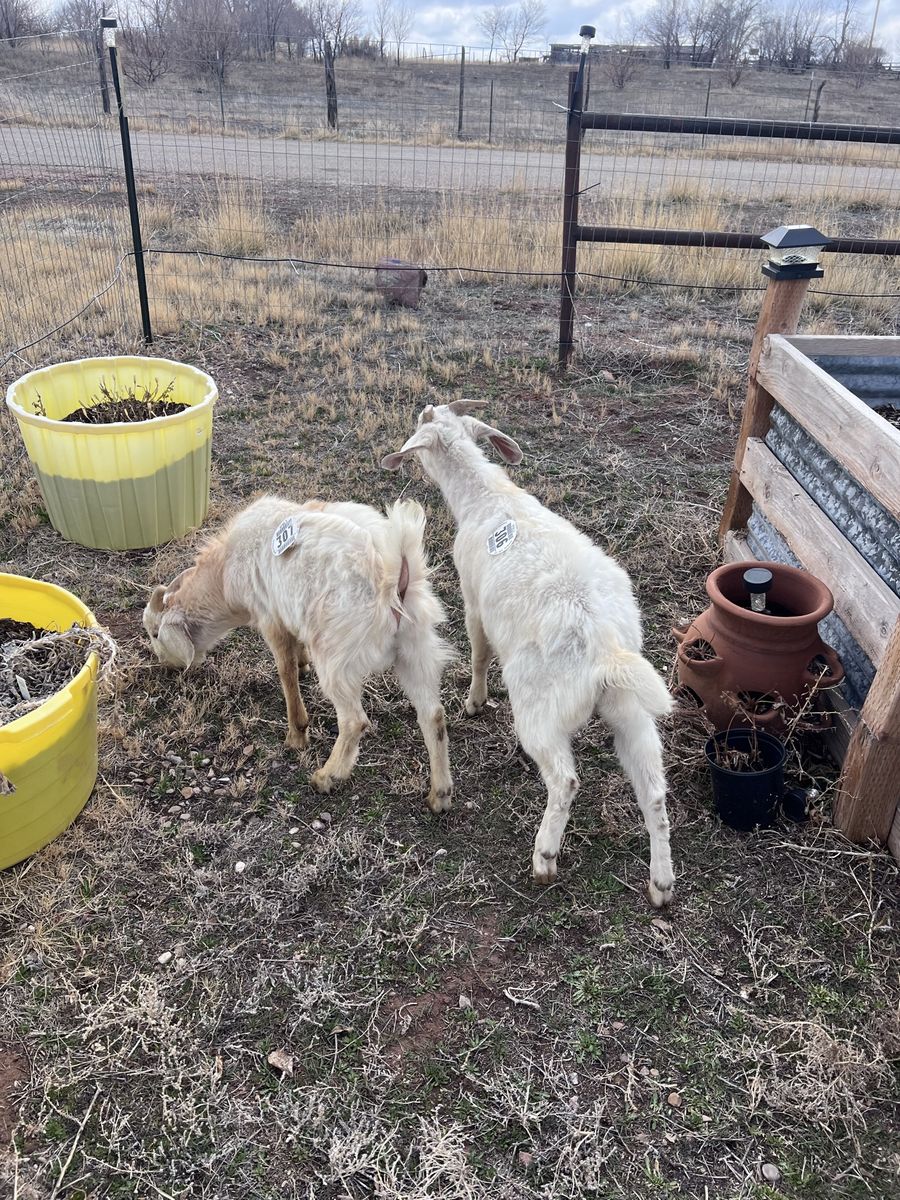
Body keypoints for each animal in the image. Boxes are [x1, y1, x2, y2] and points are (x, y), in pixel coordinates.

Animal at [143, 496, 453, 809]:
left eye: (155, 633)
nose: (166, 667)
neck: (224, 572)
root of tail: (395, 574)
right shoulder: (291, 614)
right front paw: (304, 664)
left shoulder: (270, 617)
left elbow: (286, 671)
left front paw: (296, 735)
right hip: (416, 647)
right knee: (433, 715)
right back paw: (439, 795)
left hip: (336, 657)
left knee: (354, 721)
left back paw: (327, 777)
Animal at [383, 402, 676, 906]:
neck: (487, 497)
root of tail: (605, 646)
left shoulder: (473, 600)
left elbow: (479, 652)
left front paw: (475, 702)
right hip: (631, 708)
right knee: (654, 791)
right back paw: (661, 882)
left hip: (540, 709)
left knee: (565, 780)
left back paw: (545, 857)